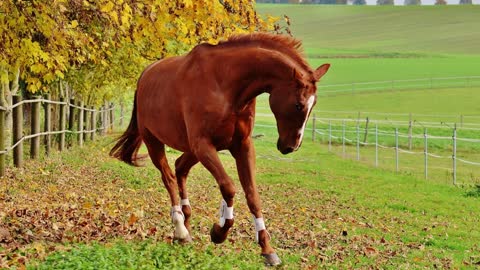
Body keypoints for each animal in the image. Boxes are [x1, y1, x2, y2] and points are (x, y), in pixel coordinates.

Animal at [111, 32, 330, 266]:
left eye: (313, 105)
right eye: (299, 105)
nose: (291, 147)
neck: (226, 85)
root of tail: (145, 75)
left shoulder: (242, 146)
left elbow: (253, 196)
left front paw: (267, 249)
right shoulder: (203, 145)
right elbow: (229, 187)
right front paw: (219, 232)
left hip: (191, 150)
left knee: (180, 168)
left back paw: (186, 226)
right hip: (154, 142)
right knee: (169, 178)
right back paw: (180, 229)